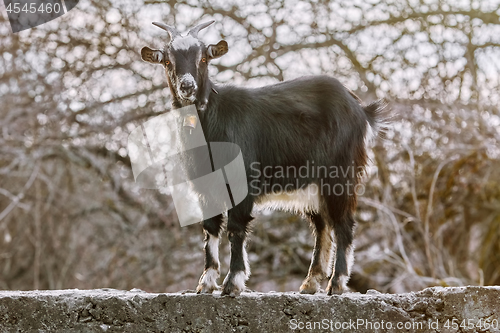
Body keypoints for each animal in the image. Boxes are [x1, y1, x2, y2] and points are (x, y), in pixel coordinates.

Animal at [141, 21, 386, 296]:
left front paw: (233, 282)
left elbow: (236, 228)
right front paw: (206, 282)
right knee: (323, 226)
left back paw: (336, 283)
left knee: (343, 224)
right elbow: (210, 228)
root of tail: (361, 110)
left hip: (341, 174)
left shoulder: (242, 182)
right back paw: (311, 282)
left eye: (203, 58)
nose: (187, 86)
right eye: (167, 61)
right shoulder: (204, 187)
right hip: (314, 183)